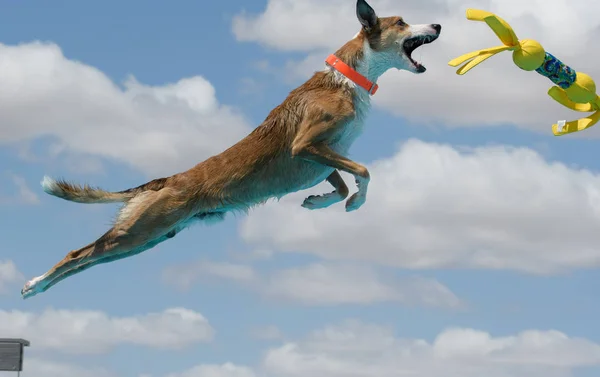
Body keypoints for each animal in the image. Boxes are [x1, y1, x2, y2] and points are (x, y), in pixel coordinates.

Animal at [21, 0, 440, 300]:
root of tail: (163, 181)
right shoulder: (307, 145)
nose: (437, 25)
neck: (347, 78)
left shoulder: (322, 159)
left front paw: (318, 202)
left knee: (87, 261)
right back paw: (34, 283)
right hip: (140, 231)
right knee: (77, 255)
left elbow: (338, 183)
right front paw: (355, 202)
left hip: (146, 240)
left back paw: (41, 286)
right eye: (402, 22)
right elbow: (364, 172)